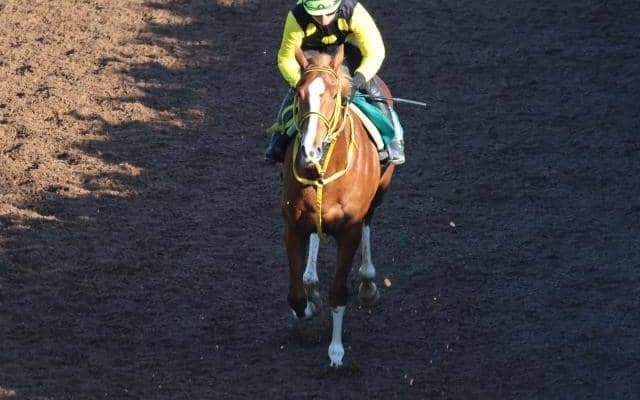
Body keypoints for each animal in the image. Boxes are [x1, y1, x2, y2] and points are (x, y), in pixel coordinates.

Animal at [280, 45, 395, 367]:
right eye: (298, 93)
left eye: (333, 95)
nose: (309, 153)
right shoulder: (292, 225)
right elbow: (295, 296)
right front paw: (308, 303)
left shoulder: (350, 231)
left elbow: (338, 294)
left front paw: (336, 350)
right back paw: (311, 281)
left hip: (380, 192)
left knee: (369, 221)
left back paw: (368, 283)